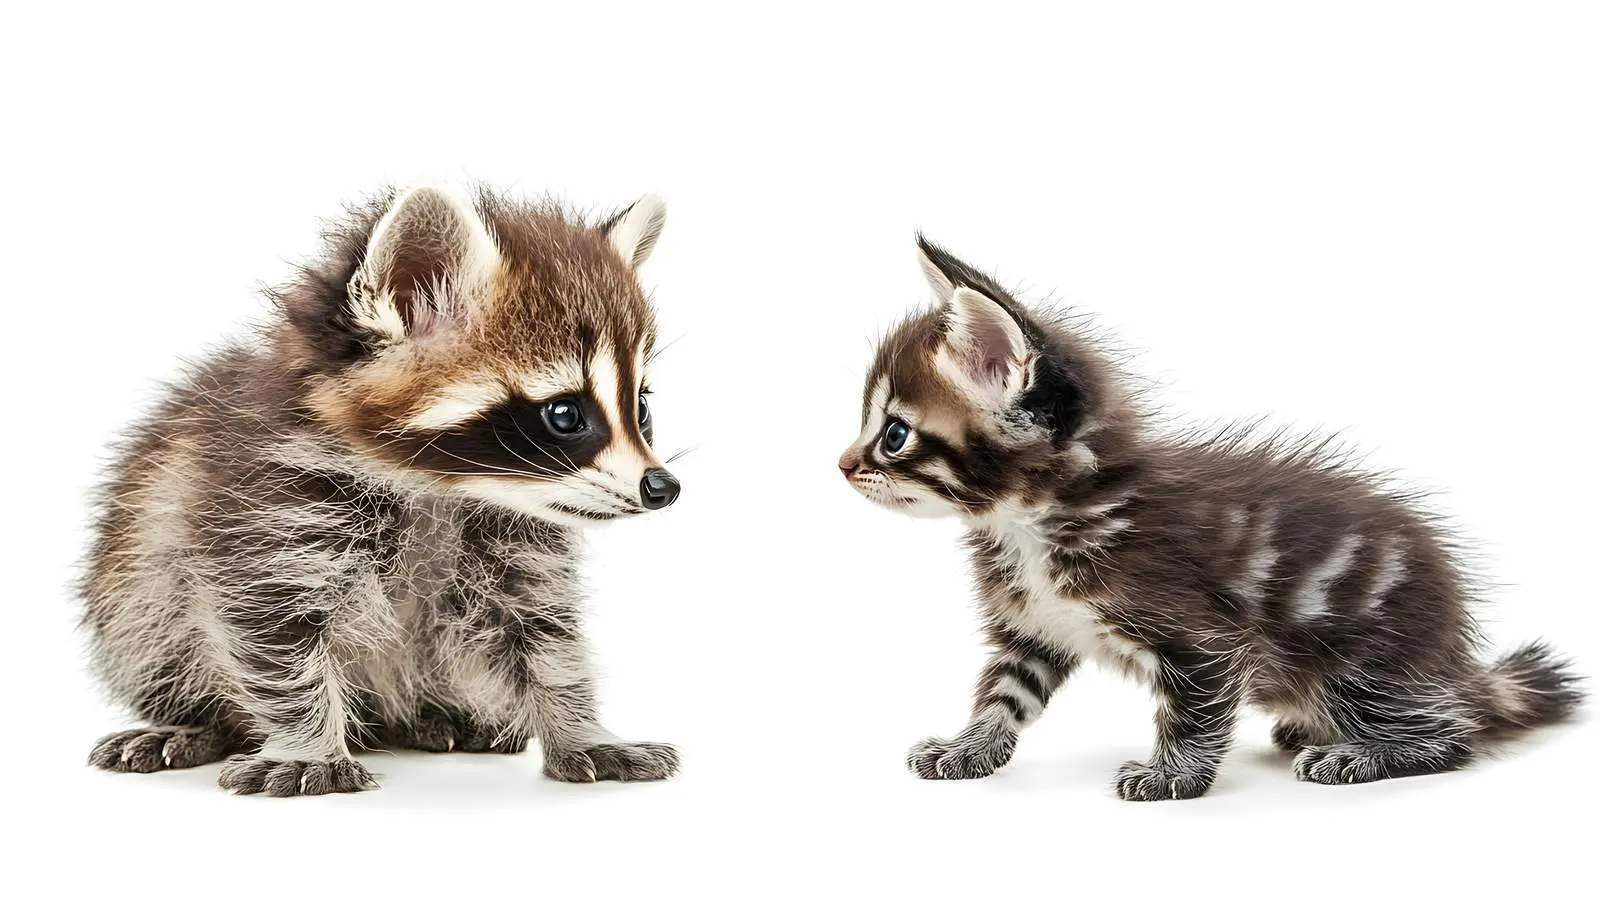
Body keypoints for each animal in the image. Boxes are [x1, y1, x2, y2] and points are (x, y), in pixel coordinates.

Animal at [83, 184, 683, 796]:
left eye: (641, 408)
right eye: (565, 414)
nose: (663, 487)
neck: (447, 490)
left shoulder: (519, 552)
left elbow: (544, 636)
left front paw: (581, 728)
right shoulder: (269, 515)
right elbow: (272, 637)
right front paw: (305, 744)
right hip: (136, 580)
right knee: (151, 626)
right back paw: (194, 724)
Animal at [840, 236, 1582, 800]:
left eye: (894, 434)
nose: (842, 464)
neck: (1033, 524)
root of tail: (1453, 657)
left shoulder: (1200, 632)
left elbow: (1195, 710)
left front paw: (1172, 775)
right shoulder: (1034, 628)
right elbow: (1002, 693)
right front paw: (968, 746)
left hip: (1360, 664)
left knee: (1456, 727)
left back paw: (1361, 752)